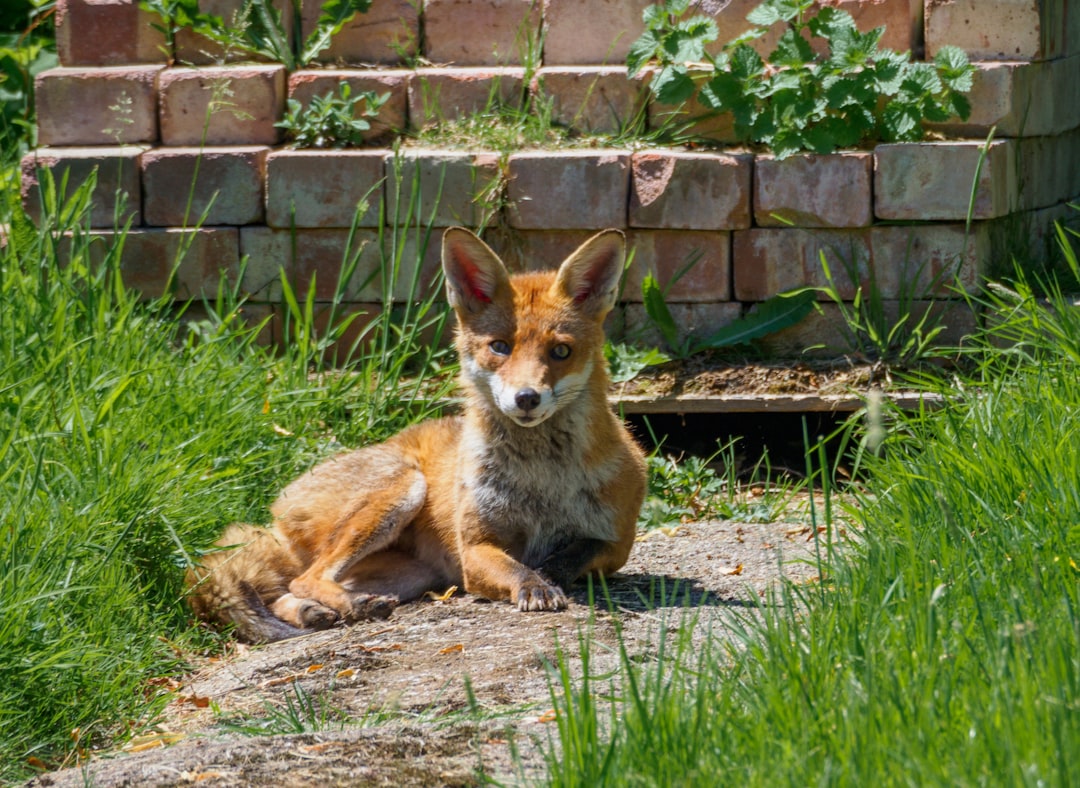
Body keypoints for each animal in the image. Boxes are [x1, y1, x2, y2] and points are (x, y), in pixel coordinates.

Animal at [185, 224, 643, 643]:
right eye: (500, 347)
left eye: (561, 351)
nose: (526, 398)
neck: (541, 481)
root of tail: (275, 510)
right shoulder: (474, 548)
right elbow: (516, 567)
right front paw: (534, 584)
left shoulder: (616, 542)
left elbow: (577, 552)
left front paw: (549, 571)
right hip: (402, 488)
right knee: (305, 577)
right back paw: (350, 606)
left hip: (413, 573)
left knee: (288, 589)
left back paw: (315, 613)